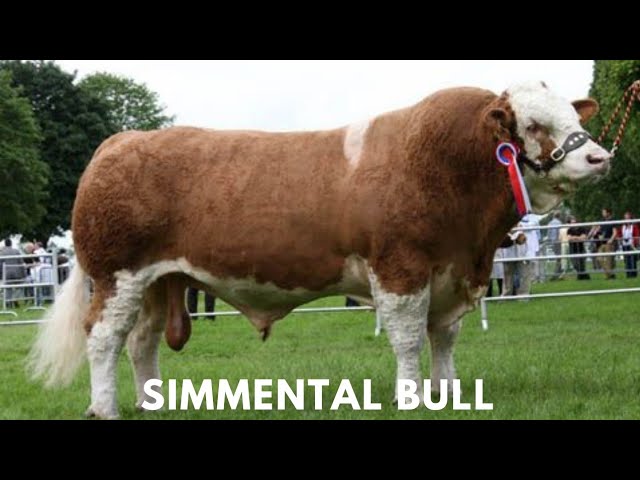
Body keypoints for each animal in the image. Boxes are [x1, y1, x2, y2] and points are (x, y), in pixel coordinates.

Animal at [28, 81, 611, 419]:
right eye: (533, 125)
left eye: (574, 117)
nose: (599, 157)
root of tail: (121, 141)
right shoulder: (401, 268)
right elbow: (407, 341)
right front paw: (409, 397)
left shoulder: (454, 273)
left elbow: (444, 338)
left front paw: (446, 395)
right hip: (116, 275)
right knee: (104, 339)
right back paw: (105, 408)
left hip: (155, 281)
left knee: (141, 342)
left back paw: (152, 404)